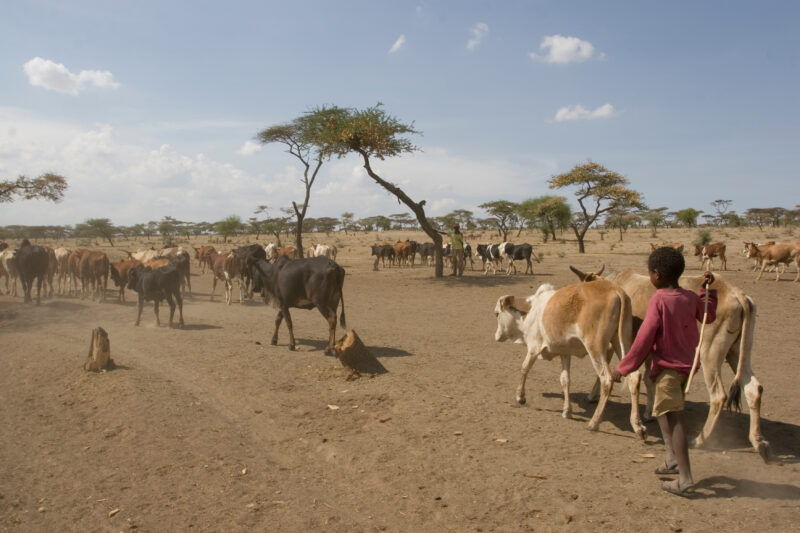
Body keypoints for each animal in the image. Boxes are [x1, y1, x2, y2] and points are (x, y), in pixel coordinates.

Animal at [493, 280, 647, 440]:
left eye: (497, 314)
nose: (496, 336)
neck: (530, 311)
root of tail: (615, 289)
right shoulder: (564, 353)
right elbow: (565, 380)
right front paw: (567, 411)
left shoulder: (534, 347)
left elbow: (524, 368)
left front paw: (520, 397)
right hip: (621, 341)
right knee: (634, 377)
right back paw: (637, 425)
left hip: (595, 347)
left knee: (606, 379)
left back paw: (594, 423)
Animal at [569, 265, 770, 461]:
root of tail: (737, 294)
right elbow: (649, 380)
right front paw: (649, 413)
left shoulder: (616, 344)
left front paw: (592, 396)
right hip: (737, 353)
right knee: (753, 389)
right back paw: (758, 441)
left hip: (709, 354)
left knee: (718, 396)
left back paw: (700, 440)